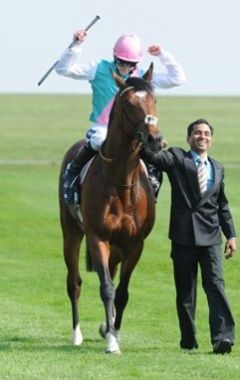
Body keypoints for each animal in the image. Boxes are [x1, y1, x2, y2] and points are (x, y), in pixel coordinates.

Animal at [58, 63, 159, 354]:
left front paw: (113, 331)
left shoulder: (135, 243)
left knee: (111, 274)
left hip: (118, 245)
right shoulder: (97, 237)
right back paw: (76, 335)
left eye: (154, 99)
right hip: (71, 232)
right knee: (74, 282)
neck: (121, 180)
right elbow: (107, 288)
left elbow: (122, 292)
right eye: (127, 103)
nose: (155, 140)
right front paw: (112, 341)